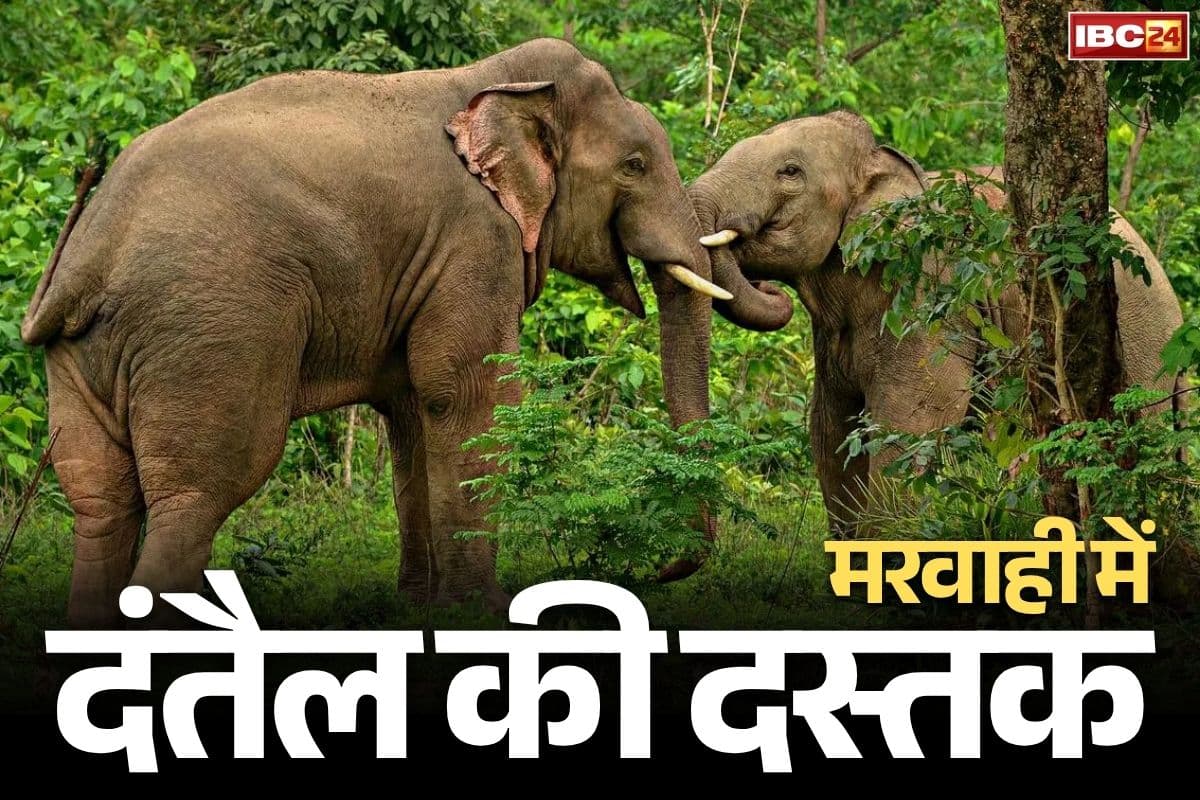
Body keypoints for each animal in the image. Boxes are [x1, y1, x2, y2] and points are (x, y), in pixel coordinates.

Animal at [20, 38, 783, 626]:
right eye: (636, 165)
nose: (663, 571)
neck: (492, 82)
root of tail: (90, 252)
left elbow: (415, 410)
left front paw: (423, 609)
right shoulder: (473, 240)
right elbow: (471, 395)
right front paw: (484, 612)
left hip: (85, 355)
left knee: (100, 500)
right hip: (210, 328)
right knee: (198, 493)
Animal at [689, 110, 1186, 534]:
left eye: (790, 172)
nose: (765, 287)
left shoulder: (929, 295)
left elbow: (911, 419)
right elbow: (831, 426)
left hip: (1141, 342)